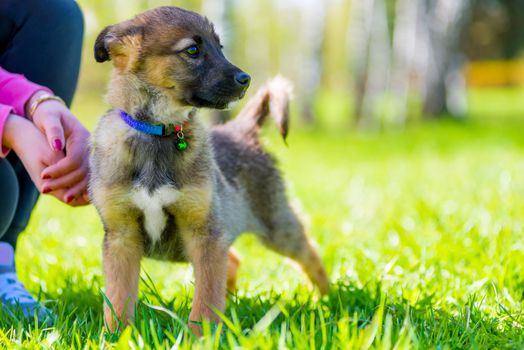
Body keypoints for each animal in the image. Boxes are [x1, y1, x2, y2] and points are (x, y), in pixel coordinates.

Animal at [89, 5, 328, 334]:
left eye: (220, 46)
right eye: (192, 50)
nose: (246, 79)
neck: (159, 134)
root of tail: (242, 129)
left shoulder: (204, 231)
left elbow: (205, 298)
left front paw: (202, 336)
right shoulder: (121, 235)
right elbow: (117, 300)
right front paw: (117, 336)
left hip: (276, 224)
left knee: (309, 252)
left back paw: (328, 298)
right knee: (235, 260)